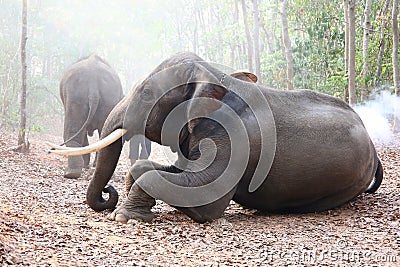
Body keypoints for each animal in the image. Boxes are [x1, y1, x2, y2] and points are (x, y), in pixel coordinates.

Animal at [48, 52, 382, 224]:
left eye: (146, 93)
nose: (108, 193)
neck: (212, 76)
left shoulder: (233, 139)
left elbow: (205, 201)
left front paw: (125, 216)